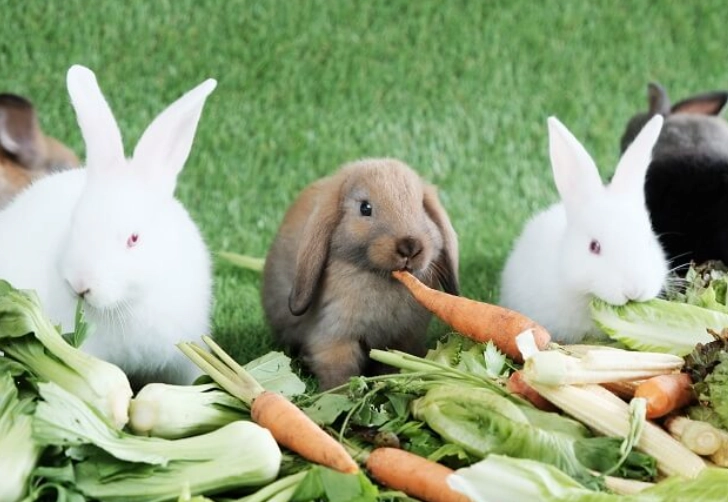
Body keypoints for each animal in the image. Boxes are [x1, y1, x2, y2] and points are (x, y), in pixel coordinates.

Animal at [261, 158, 460, 390]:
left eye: (422, 207)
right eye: (365, 208)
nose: (409, 246)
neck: (383, 279)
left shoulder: (405, 338)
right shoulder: (334, 336)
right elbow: (339, 371)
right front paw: (340, 395)